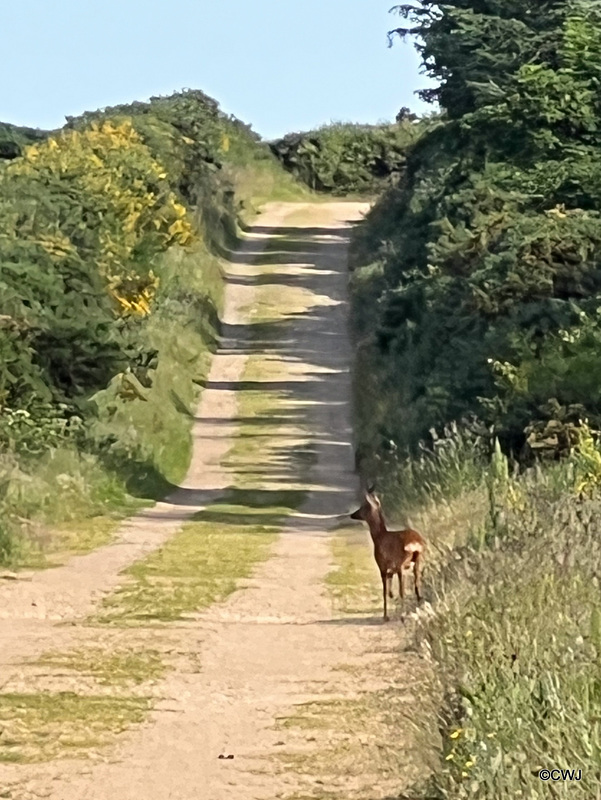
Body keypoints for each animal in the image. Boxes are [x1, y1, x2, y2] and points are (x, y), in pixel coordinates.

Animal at [350, 484, 424, 620]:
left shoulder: (382, 564)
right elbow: (389, 583)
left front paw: (385, 615)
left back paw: (402, 615)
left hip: (402, 563)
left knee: (403, 591)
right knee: (417, 586)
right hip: (417, 561)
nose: (353, 514)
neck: (379, 537)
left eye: (363, 506)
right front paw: (391, 594)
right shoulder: (392, 566)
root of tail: (416, 543)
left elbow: (384, 591)